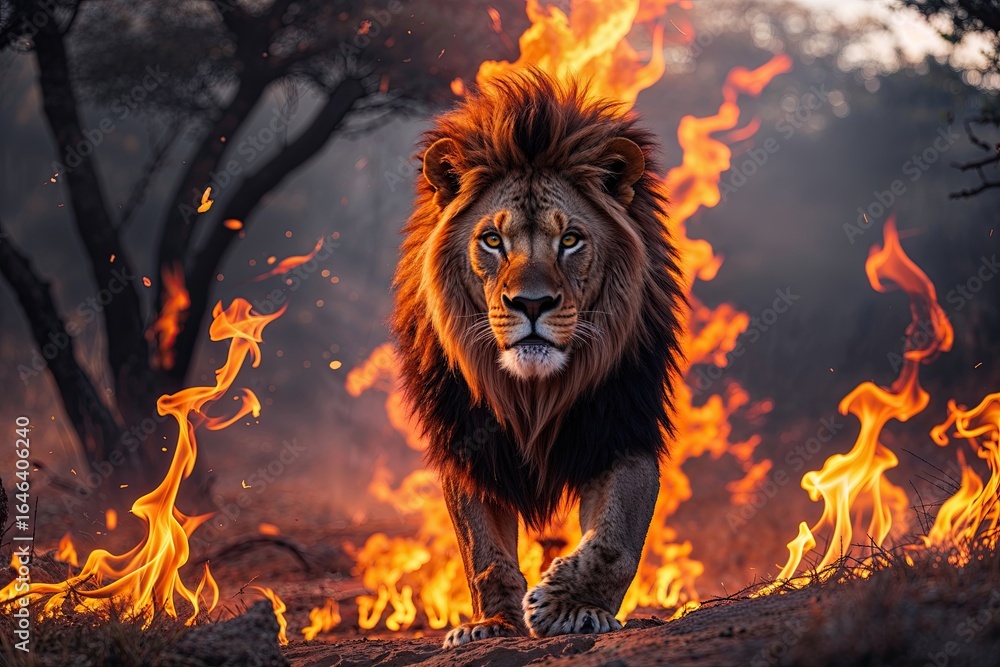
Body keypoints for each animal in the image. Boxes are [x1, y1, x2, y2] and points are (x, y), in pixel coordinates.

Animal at [391, 70, 684, 647]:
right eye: (491, 240)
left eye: (569, 239)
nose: (530, 303)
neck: (533, 393)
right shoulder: (468, 448)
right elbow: (482, 553)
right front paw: (491, 624)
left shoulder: (623, 428)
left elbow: (614, 540)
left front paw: (571, 607)